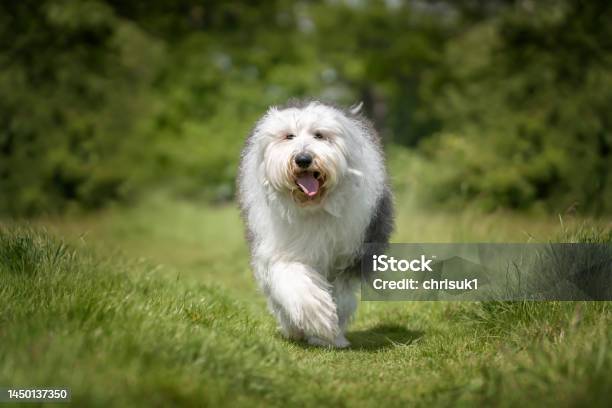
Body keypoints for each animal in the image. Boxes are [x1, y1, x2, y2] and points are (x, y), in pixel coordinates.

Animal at [237, 101, 394, 348]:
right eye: (289, 136)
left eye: (319, 135)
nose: (303, 159)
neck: (312, 207)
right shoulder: (278, 248)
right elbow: (292, 278)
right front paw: (318, 317)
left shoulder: (350, 256)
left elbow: (341, 295)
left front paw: (330, 334)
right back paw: (292, 327)